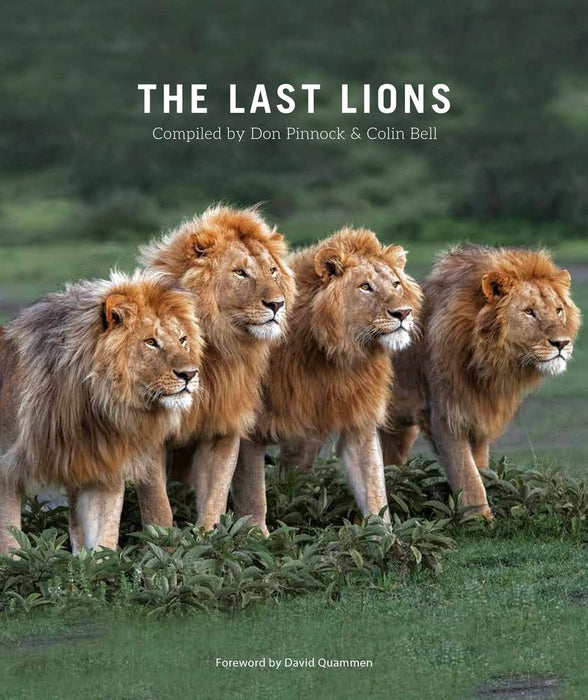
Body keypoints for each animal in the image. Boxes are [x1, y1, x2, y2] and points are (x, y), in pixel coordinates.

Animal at [0, 272, 204, 553]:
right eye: (151, 342)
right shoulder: (6, 471)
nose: (190, 374)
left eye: (183, 340)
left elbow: (102, 541)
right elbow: (9, 543)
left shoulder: (101, 470)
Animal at [136, 205, 296, 531]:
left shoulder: (222, 425)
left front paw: (208, 537)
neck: (215, 348)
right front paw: (163, 541)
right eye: (240, 272)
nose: (277, 304)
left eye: (272, 271)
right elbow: (156, 504)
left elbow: (216, 495)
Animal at [230, 227, 422, 534]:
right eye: (365, 287)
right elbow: (252, 490)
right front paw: (255, 534)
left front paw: (384, 536)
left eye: (395, 284)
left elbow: (373, 485)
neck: (334, 355)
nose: (403, 313)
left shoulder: (358, 417)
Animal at [380, 245, 581, 519]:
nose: (562, 343)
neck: (490, 363)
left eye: (559, 310)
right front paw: (480, 520)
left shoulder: (480, 414)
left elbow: (480, 468)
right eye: (529, 312)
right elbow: (467, 475)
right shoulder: (445, 415)